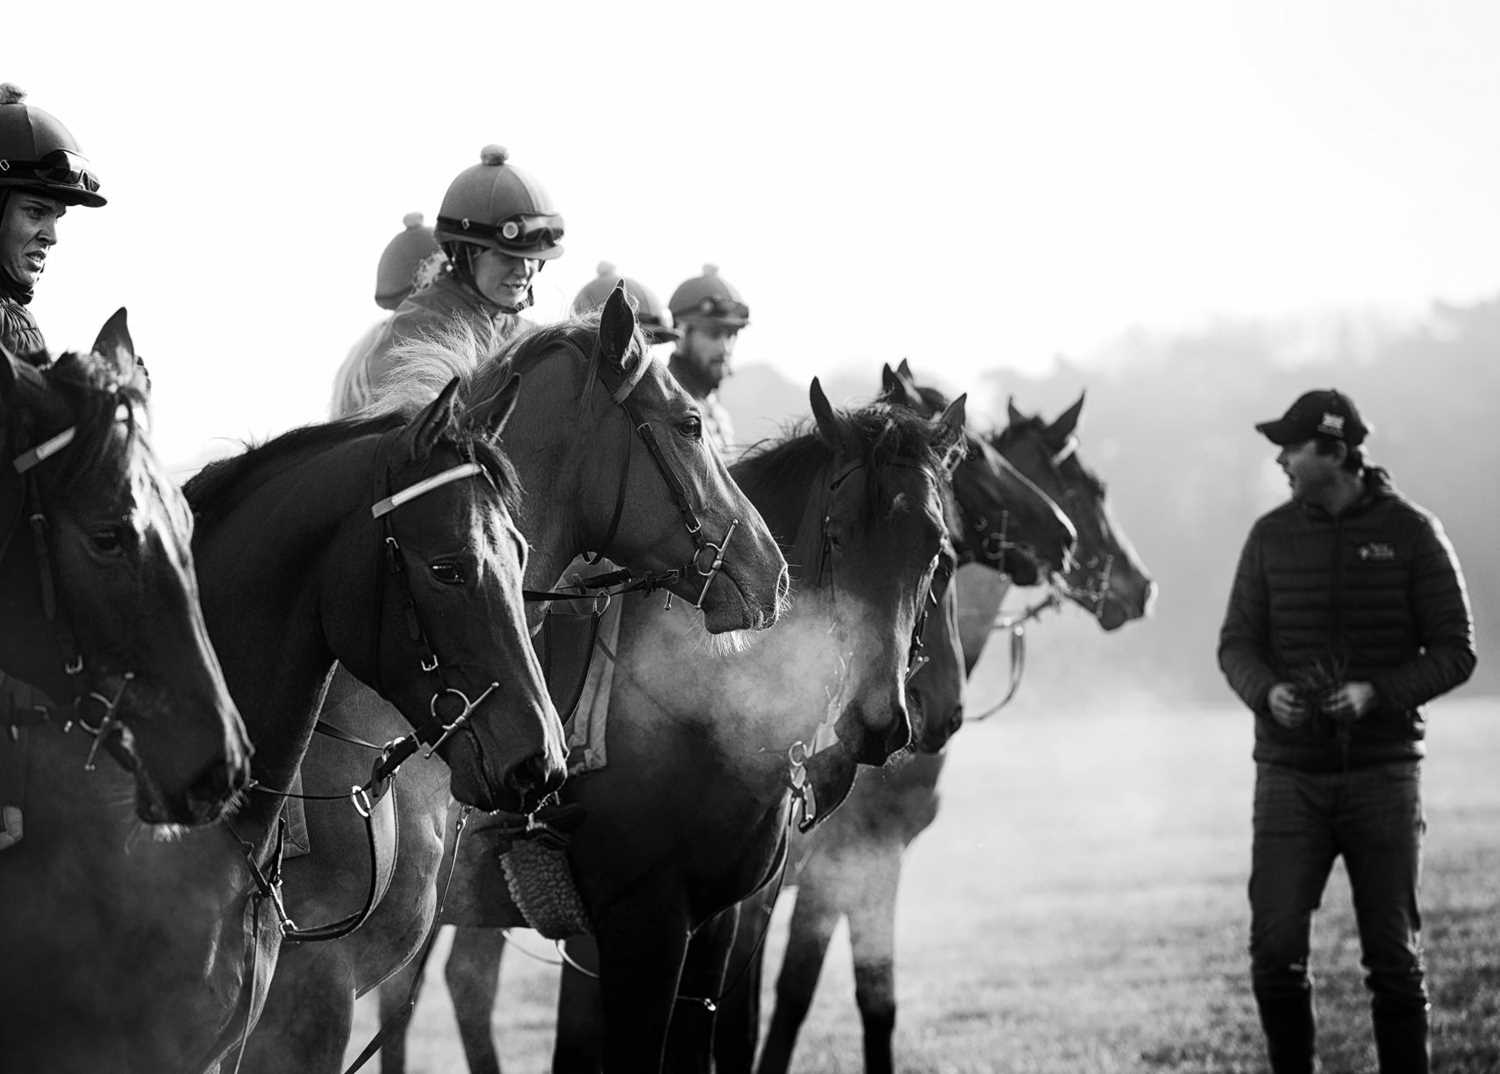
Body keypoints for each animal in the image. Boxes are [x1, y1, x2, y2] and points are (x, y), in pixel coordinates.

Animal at [750, 367, 1158, 1074]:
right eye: (1087, 487)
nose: (1139, 587)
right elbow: (800, 997)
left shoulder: (859, 871)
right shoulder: (845, 865)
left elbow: (870, 999)